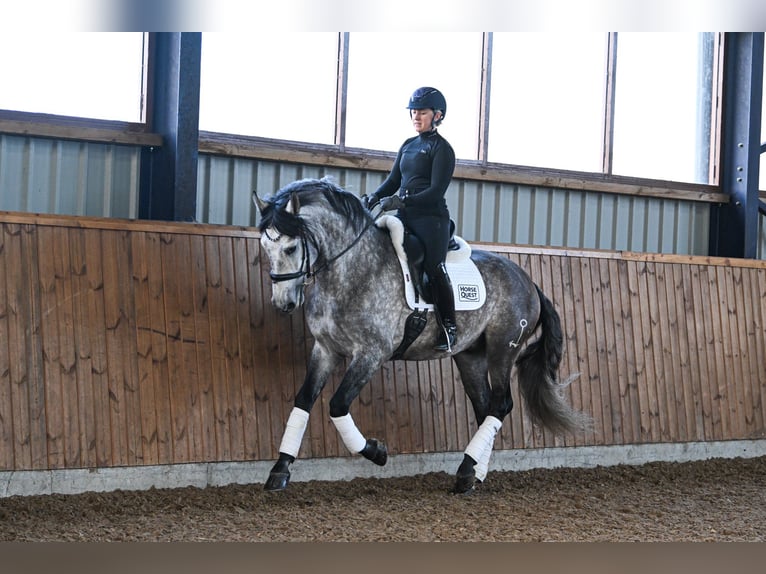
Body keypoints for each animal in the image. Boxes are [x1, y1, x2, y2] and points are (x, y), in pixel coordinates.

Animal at [253, 177, 588, 493]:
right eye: (265, 248)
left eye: (291, 248)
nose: (283, 304)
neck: (352, 269)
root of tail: (528, 281)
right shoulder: (325, 349)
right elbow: (303, 400)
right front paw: (279, 472)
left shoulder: (371, 353)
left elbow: (337, 405)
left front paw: (377, 452)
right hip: (470, 356)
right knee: (485, 408)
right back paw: (473, 474)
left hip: (503, 349)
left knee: (501, 404)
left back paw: (466, 471)